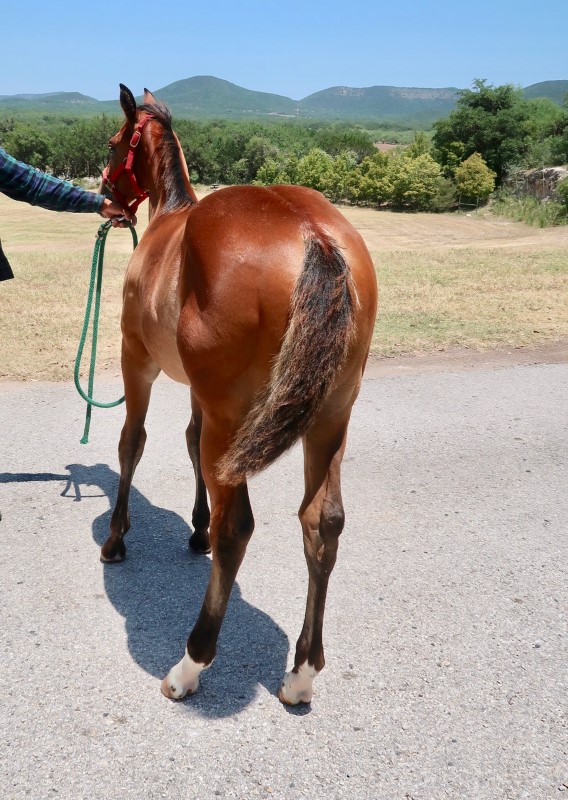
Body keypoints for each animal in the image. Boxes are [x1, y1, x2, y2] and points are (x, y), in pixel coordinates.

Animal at [100, 84, 380, 704]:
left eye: (112, 143)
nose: (105, 198)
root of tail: (314, 237)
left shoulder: (139, 362)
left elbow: (133, 442)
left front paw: (116, 538)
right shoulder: (199, 395)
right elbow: (187, 441)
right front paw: (193, 529)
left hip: (234, 417)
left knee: (239, 529)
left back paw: (191, 663)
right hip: (331, 417)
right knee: (322, 522)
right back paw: (302, 671)